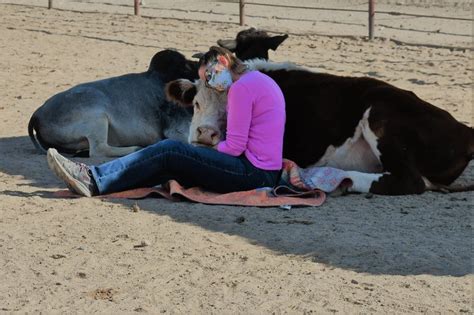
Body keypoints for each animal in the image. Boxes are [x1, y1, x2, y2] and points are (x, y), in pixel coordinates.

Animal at [165, 59, 472, 195]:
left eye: (235, 107)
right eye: (196, 104)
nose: (206, 134)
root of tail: (464, 129)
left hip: (380, 113)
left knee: (411, 181)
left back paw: (340, 179)